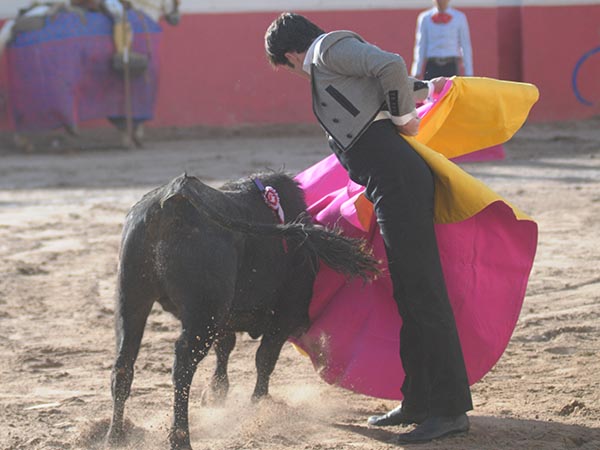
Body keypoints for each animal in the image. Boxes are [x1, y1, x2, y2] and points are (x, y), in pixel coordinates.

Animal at [106, 171, 380, 446]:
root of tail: (174, 195)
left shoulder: (226, 317)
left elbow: (225, 348)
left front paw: (216, 394)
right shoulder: (284, 317)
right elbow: (265, 358)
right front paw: (259, 404)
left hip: (131, 298)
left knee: (124, 362)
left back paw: (115, 435)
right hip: (202, 313)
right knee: (183, 365)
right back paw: (180, 437)